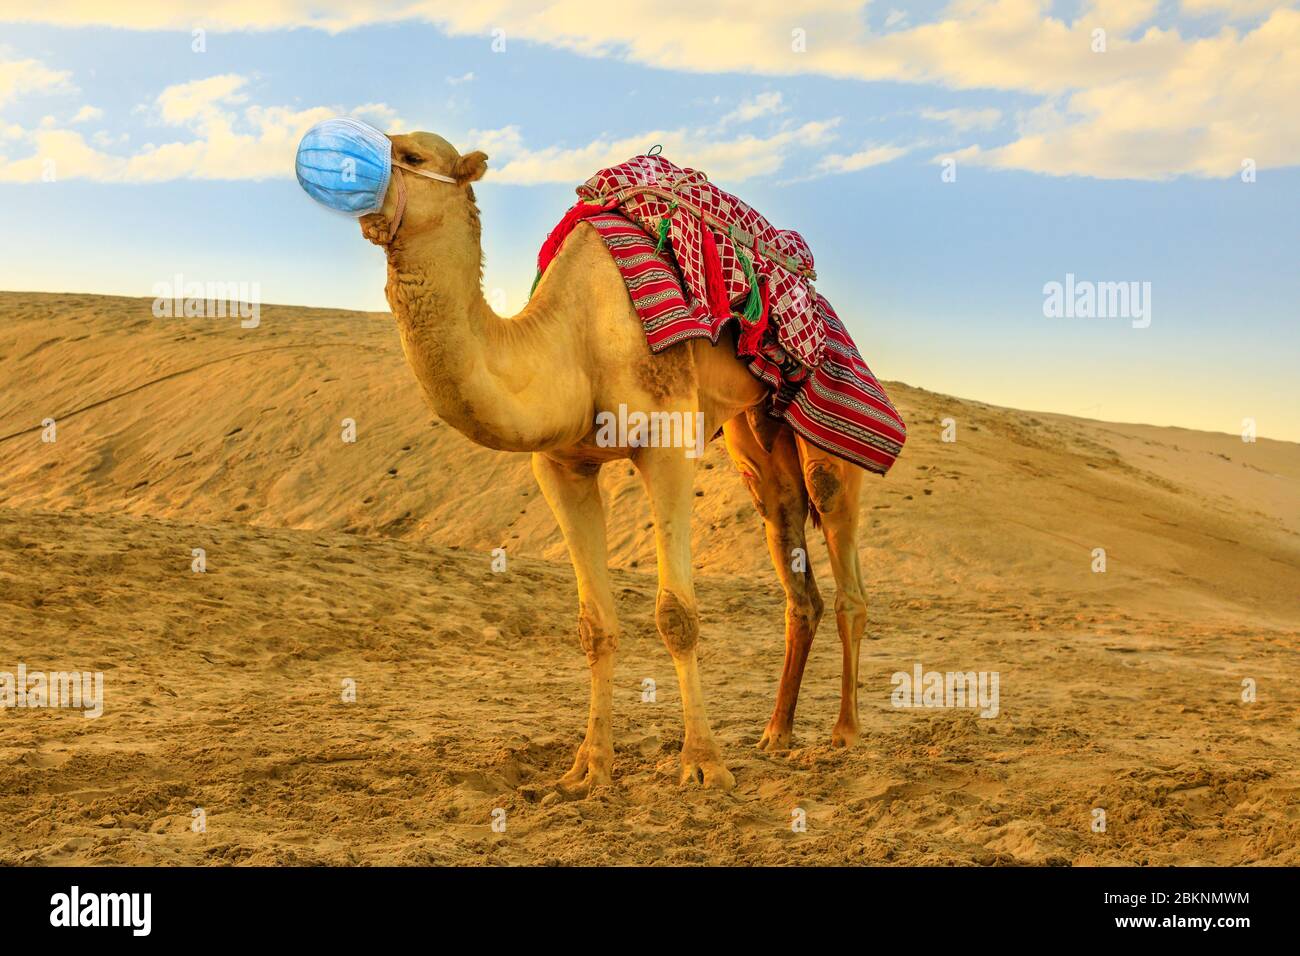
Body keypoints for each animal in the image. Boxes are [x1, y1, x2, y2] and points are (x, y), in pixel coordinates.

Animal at [351, 132, 868, 790]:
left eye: (412, 156)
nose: (345, 172)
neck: (574, 339)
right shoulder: (561, 466)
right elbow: (594, 625)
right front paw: (588, 768)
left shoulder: (667, 440)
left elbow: (677, 615)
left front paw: (703, 765)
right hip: (755, 432)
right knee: (792, 557)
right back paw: (776, 733)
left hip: (823, 408)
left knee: (840, 544)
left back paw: (845, 733)